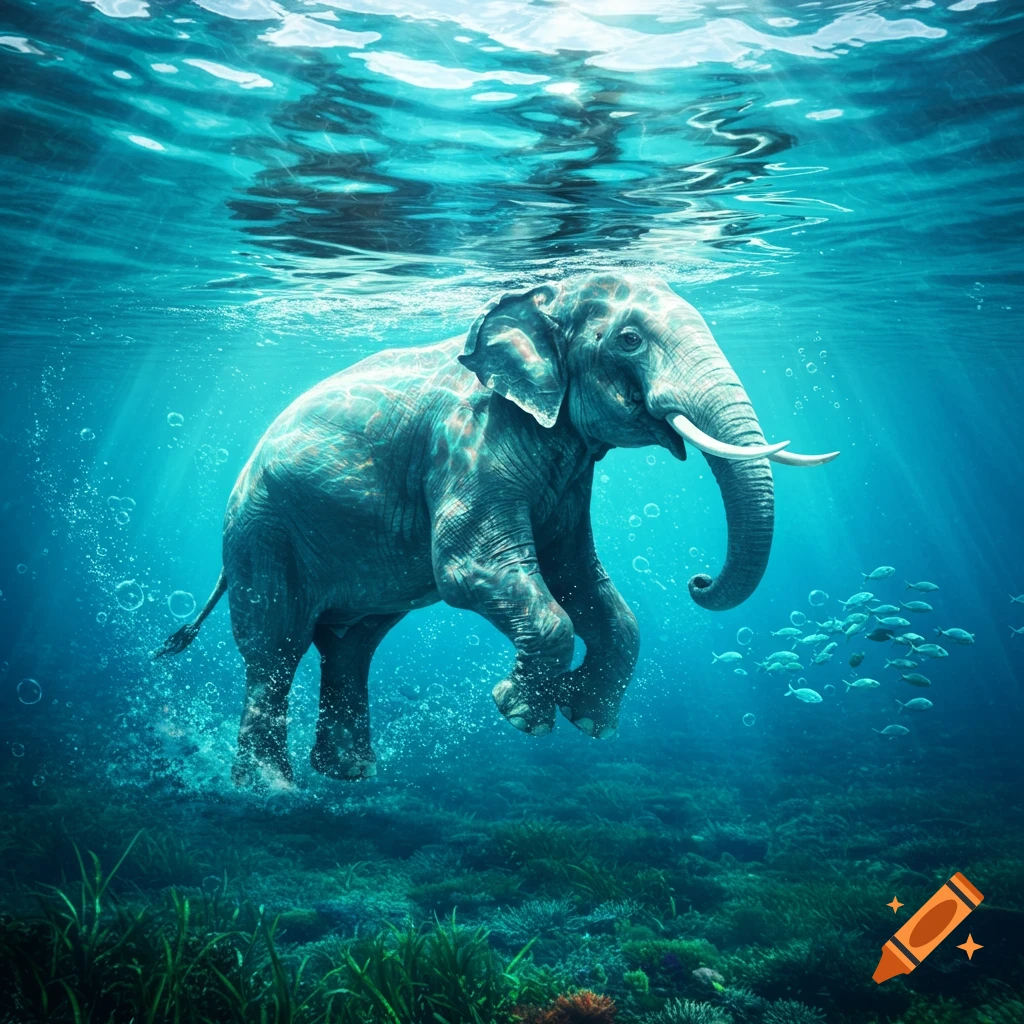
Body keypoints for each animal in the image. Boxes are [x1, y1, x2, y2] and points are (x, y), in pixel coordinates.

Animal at [154, 273, 837, 785]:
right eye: (630, 340)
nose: (696, 581)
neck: (544, 295)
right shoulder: (470, 444)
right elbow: (470, 571)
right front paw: (520, 715)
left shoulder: (568, 471)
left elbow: (581, 580)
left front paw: (586, 722)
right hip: (262, 535)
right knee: (275, 648)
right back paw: (272, 791)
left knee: (352, 647)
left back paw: (350, 777)